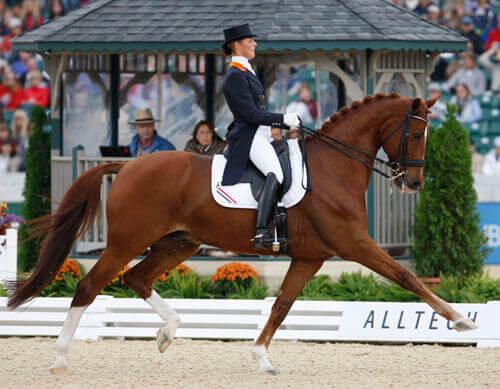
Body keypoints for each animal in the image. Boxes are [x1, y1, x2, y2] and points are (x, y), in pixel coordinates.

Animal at [6, 93, 476, 372]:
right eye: (415, 133)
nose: (412, 184)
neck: (334, 167)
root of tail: (128, 164)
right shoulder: (353, 244)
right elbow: (406, 276)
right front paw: (460, 320)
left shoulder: (311, 256)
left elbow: (282, 305)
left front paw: (261, 356)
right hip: (127, 242)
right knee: (89, 286)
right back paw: (60, 358)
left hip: (179, 243)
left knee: (136, 279)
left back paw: (168, 332)